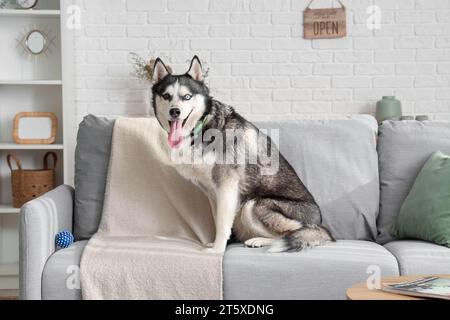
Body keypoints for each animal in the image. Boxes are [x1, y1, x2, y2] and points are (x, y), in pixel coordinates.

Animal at [151, 57, 334, 252]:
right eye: (166, 96)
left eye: (187, 96)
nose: (174, 111)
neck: (203, 126)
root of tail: (321, 224)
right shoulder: (213, 191)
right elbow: (218, 220)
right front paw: (216, 243)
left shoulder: (227, 185)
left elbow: (222, 223)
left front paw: (217, 250)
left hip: (253, 205)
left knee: (292, 232)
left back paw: (260, 240)